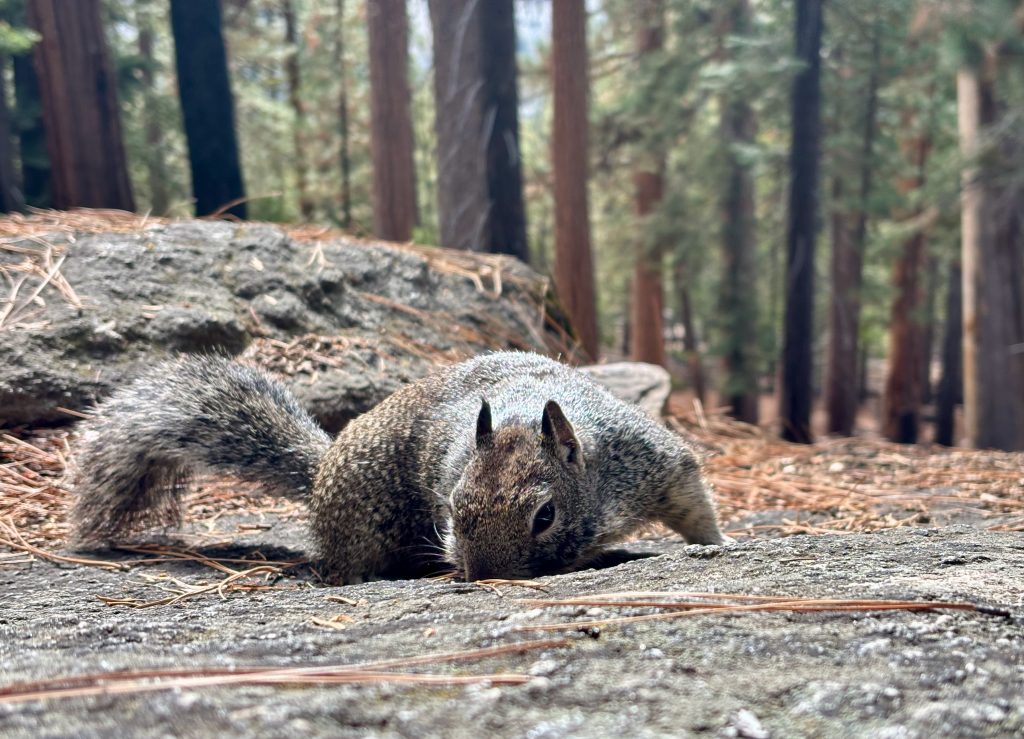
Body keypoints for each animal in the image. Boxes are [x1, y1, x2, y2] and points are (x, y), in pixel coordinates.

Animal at [70, 351, 729, 582]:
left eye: (545, 516)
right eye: (453, 510)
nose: (483, 576)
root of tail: (321, 474)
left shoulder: (649, 462)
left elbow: (691, 498)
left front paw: (717, 543)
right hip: (362, 529)